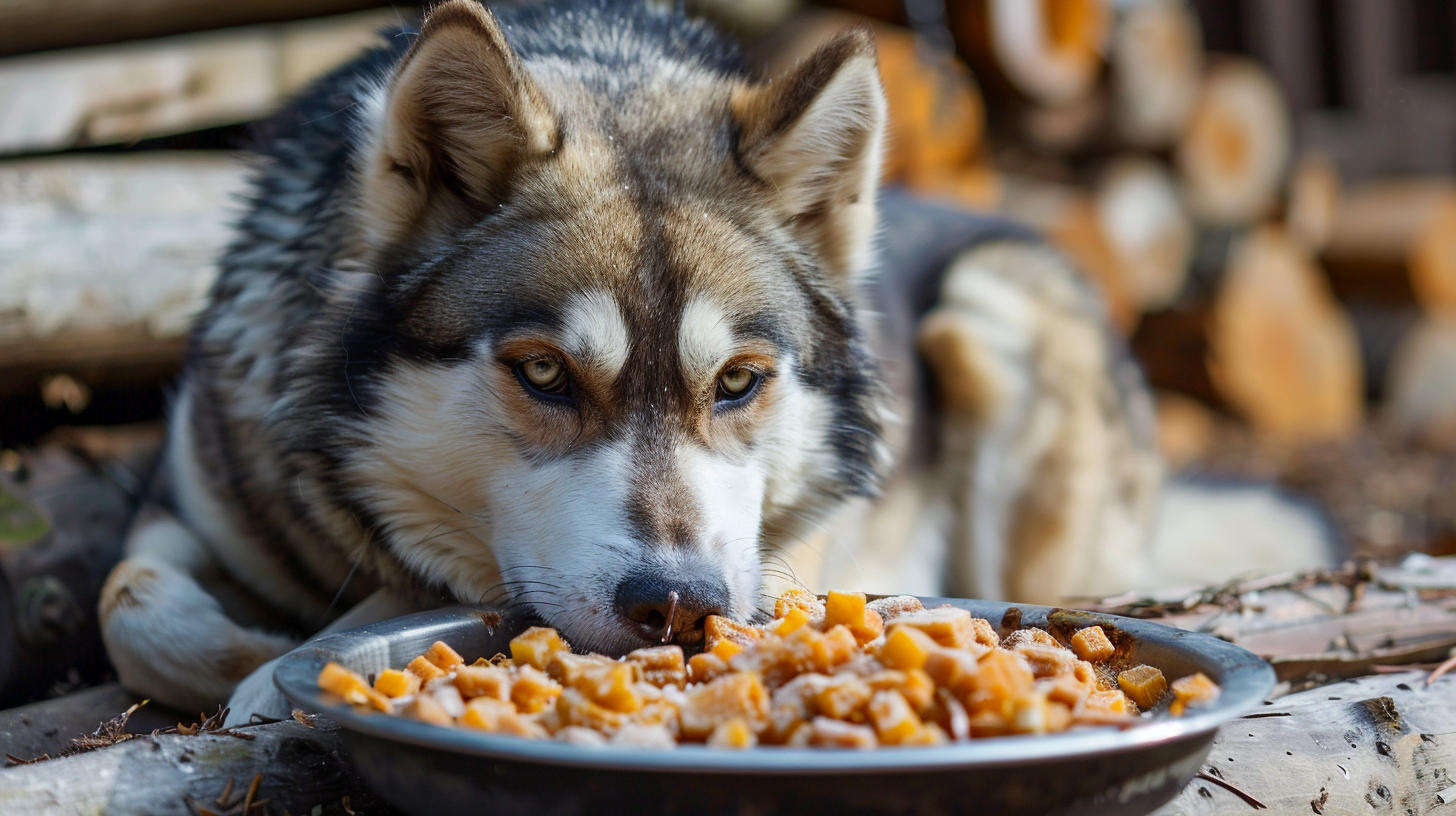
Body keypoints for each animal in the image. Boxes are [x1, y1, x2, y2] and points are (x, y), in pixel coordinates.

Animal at [99, 0, 1333, 714]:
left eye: (738, 382)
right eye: (543, 373)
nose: (677, 604)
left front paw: (288, 661)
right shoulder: (182, 501)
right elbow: (134, 609)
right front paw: (247, 657)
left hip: (997, 305)